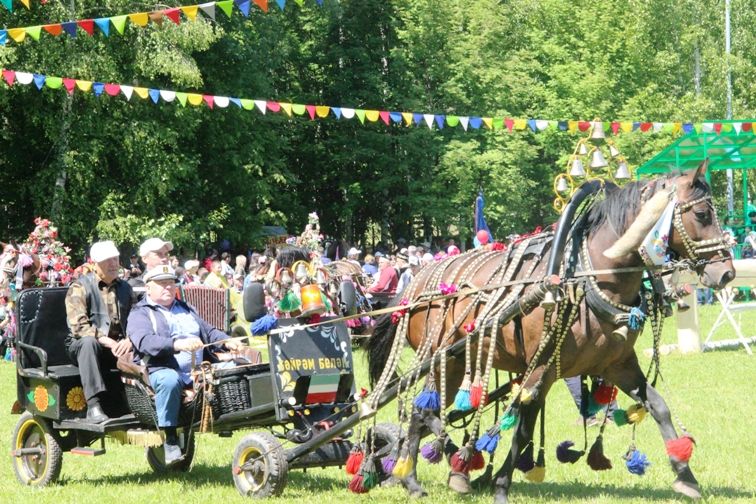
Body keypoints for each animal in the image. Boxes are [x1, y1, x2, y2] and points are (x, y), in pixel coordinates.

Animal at [366, 163, 732, 502]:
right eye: (702, 213)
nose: (726, 272)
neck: (588, 278)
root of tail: (417, 281)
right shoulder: (540, 369)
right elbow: (523, 428)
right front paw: (499, 484)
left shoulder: (617, 365)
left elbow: (658, 406)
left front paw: (685, 476)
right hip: (444, 360)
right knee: (423, 411)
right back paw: (428, 471)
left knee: (426, 414)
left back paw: (415, 473)